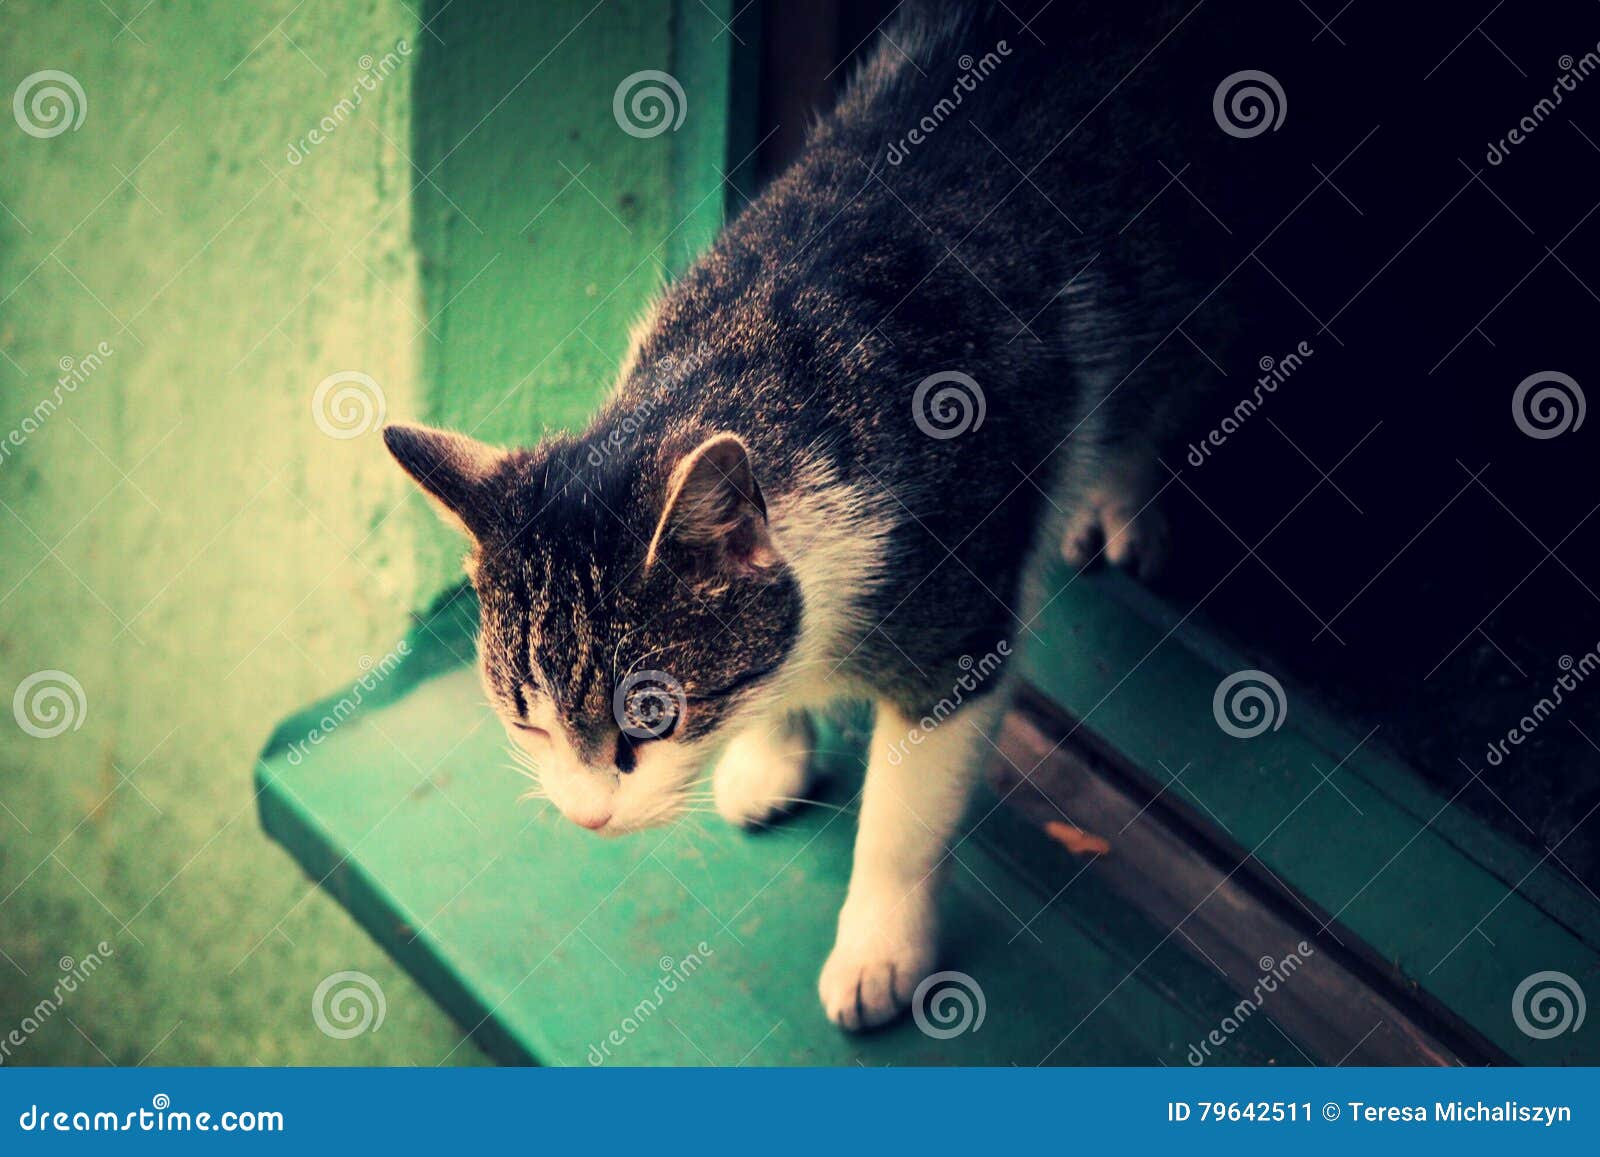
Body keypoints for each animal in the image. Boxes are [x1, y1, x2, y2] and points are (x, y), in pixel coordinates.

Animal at [380, 0, 1254, 1030]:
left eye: (650, 723)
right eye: (527, 725)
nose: (588, 816)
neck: (755, 361)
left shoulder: (958, 618)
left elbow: (905, 817)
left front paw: (880, 949)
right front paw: (771, 753)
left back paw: (1126, 501)